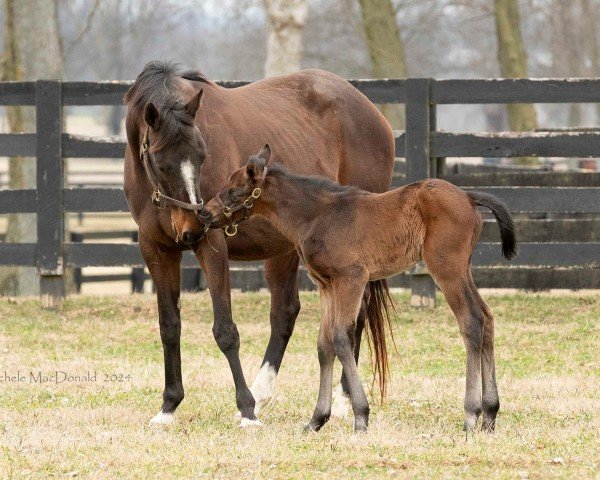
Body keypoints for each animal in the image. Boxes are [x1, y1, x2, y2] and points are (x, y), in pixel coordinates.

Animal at [122, 62, 396, 426]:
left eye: (202, 155)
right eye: (160, 161)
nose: (193, 226)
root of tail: (371, 111)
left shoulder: (212, 244)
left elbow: (225, 330)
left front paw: (246, 410)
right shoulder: (155, 250)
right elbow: (169, 327)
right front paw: (168, 406)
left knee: (357, 314)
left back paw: (340, 402)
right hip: (284, 249)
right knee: (285, 313)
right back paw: (265, 392)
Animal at [204, 144, 516, 434]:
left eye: (234, 191)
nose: (206, 213)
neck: (316, 215)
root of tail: (469, 197)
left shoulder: (351, 279)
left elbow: (342, 338)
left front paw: (361, 417)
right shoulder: (327, 286)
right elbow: (324, 345)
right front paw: (316, 420)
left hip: (446, 269)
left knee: (471, 322)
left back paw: (471, 415)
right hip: (463, 270)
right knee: (487, 319)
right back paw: (490, 414)